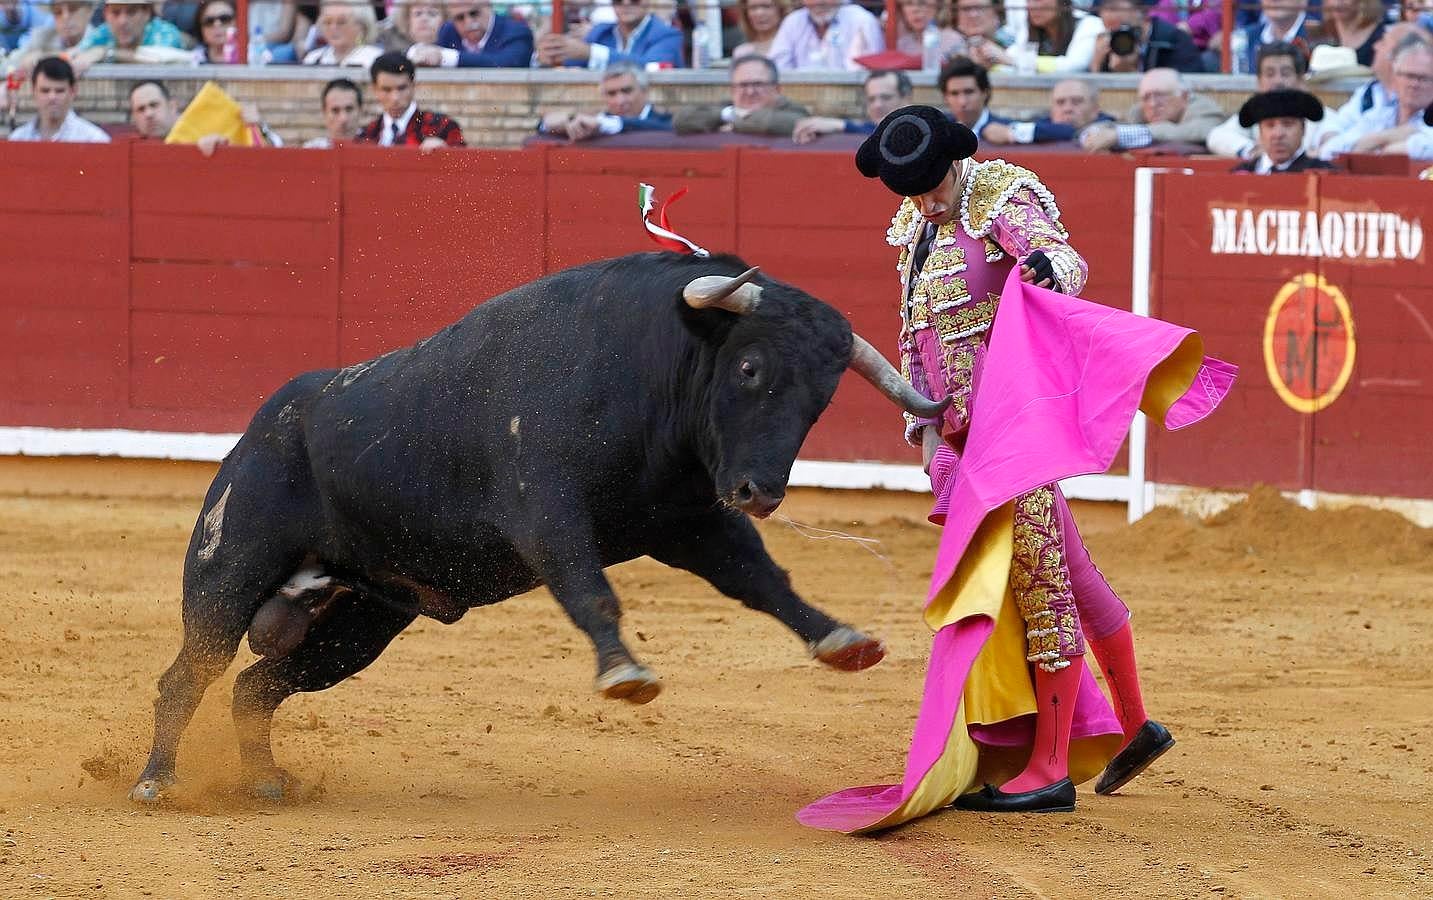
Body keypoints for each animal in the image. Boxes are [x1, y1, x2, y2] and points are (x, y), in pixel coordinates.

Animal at [128, 250, 945, 802]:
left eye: (822, 397)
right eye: (748, 368)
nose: (760, 491)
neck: (646, 365)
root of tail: (263, 426)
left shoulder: (689, 523)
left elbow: (763, 582)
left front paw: (842, 641)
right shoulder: (546, 514)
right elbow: (590, 589)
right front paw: (625, 674)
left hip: (363, 621)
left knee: (256, 686)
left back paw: (266, 783)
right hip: (228, 570)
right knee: (188, 674)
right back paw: (156, 783)